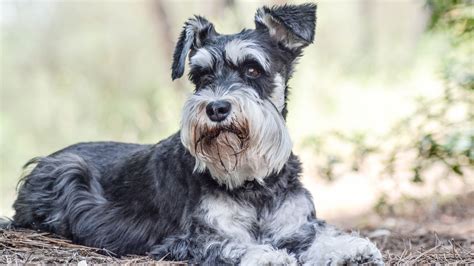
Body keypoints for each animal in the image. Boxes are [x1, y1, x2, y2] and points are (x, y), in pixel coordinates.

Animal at [11, 3, 386, 264]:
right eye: (201, 76)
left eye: (253, 69)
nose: (217, 108)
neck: (252, 182)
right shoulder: (191, 237)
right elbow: (231, 245)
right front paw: (264, 255)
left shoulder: (295, 225)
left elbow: (319, 234)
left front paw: (349, 248)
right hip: (66, 171)